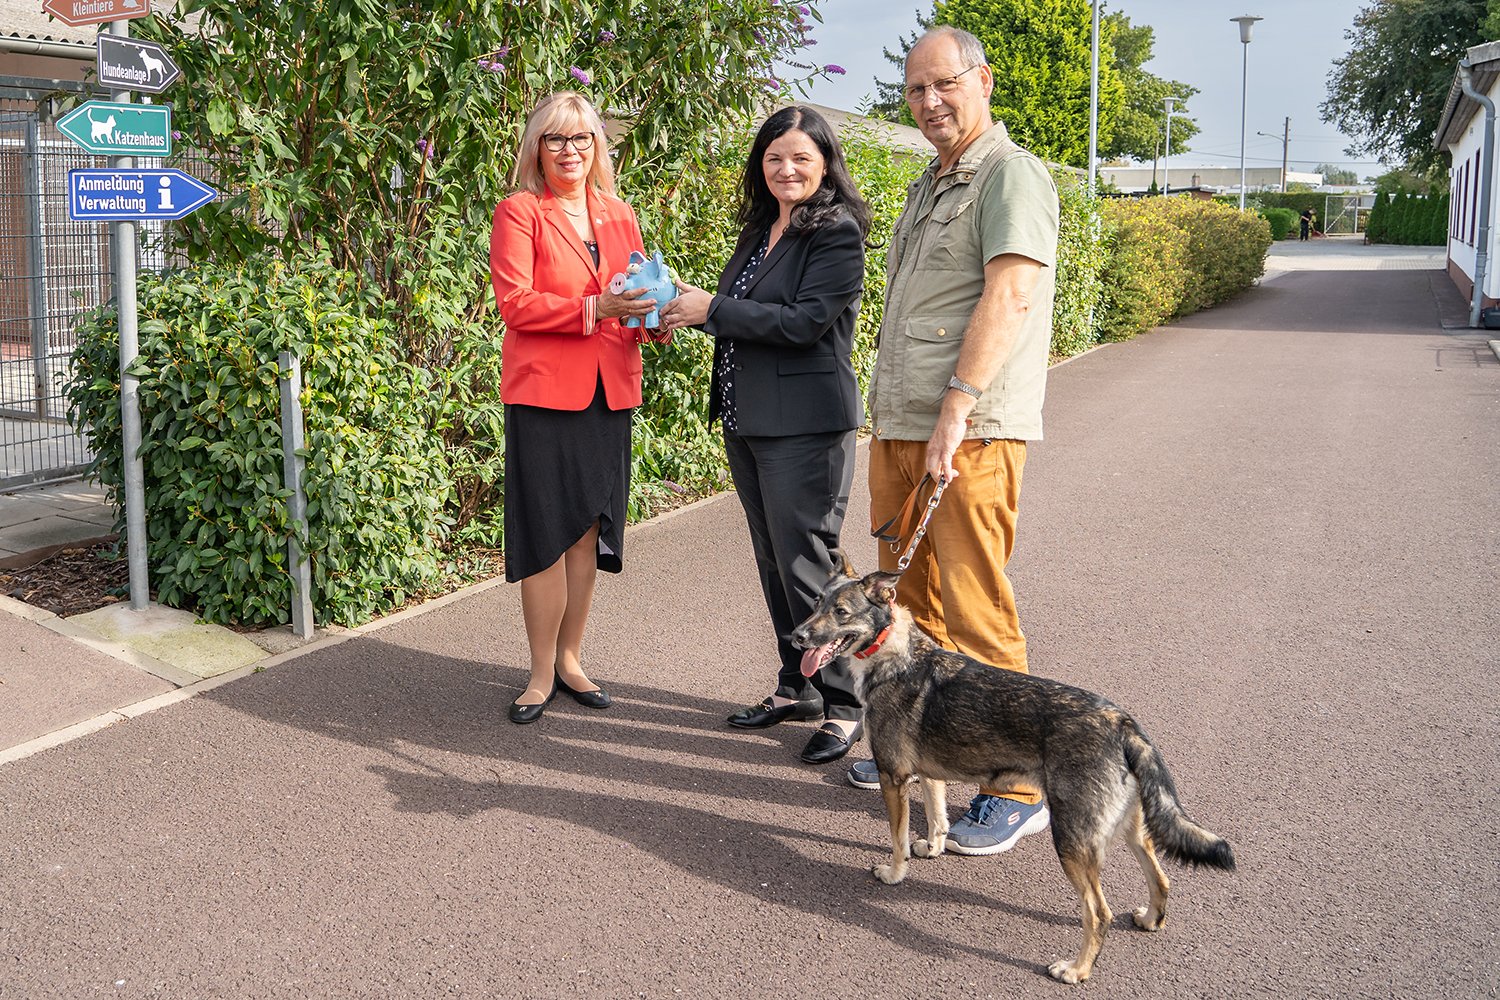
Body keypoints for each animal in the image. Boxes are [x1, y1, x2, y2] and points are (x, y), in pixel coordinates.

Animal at [792, 554, 1236, 983]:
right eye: (816, 604)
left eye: (841, 612)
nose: (797, 636)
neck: (893, 652)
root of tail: (1121, 721)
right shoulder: (929, 775)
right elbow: (936, 818)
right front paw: (933, 848)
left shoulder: (893, 777)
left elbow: (897, 839)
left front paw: (894, 873)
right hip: (1129, 829)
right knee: (1160, 878)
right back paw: (1149, 919)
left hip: (1073, 841)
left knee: (1099, 913)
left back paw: (1076, 970)